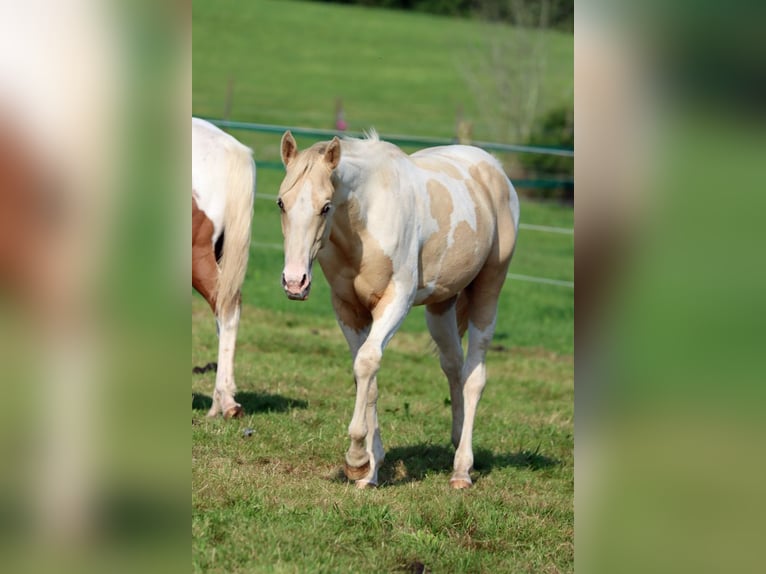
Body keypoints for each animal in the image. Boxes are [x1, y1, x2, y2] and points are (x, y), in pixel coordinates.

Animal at [278, 132, 520, 490]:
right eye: (281, 202)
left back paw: (462, 470)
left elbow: (367, 362)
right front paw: (370, 471)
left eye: (326, 206)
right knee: (453, 366)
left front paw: (356, 461)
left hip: (488, 292)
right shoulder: (348, 308)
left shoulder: (396, 302)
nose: (295, 283)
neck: (366, 220)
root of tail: (494, 169)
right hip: (440, 307)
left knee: (474, 377)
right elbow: (367, 378)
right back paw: (456, 440)